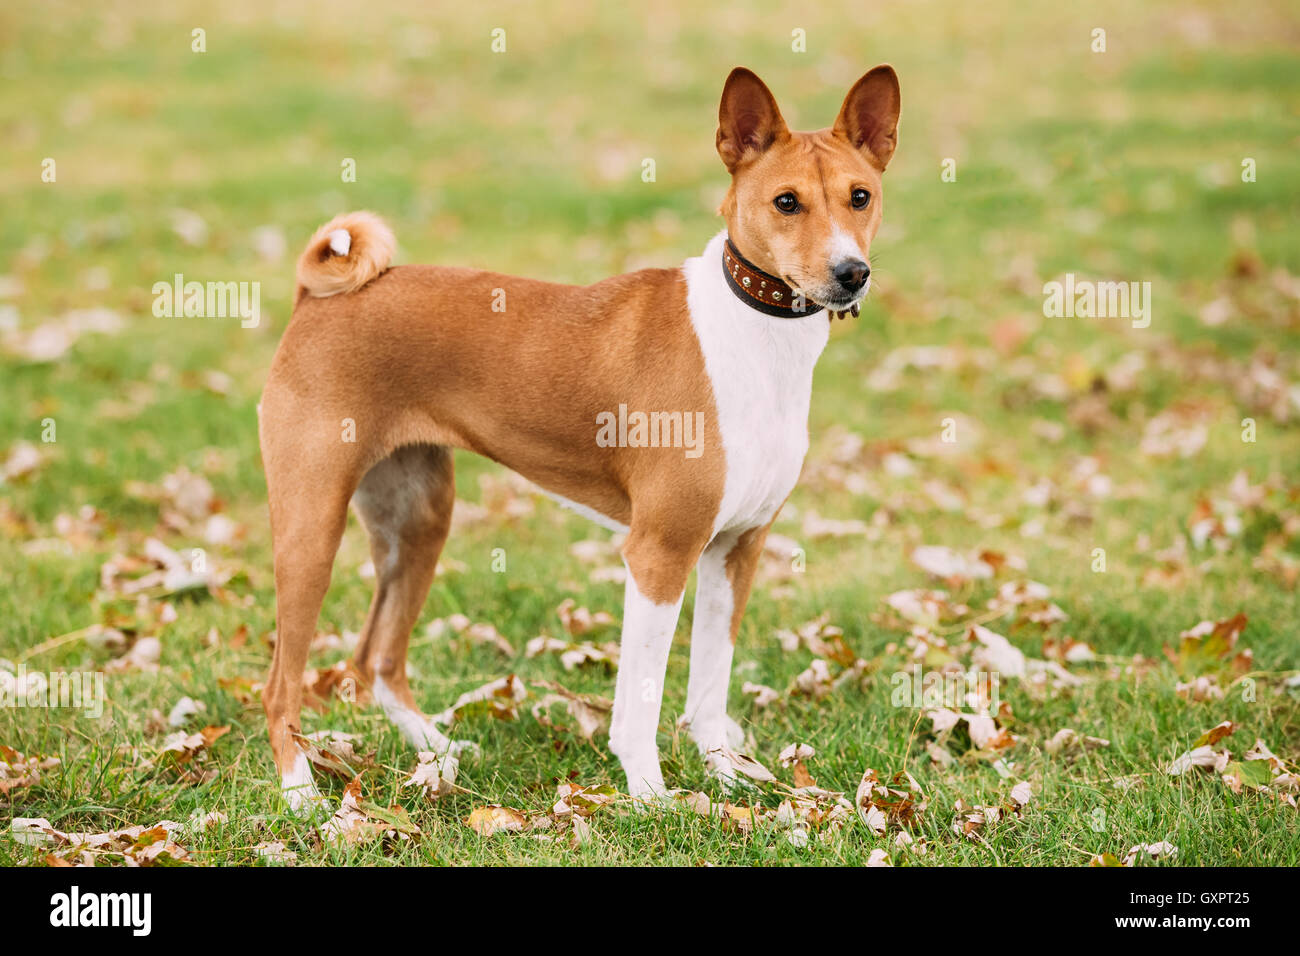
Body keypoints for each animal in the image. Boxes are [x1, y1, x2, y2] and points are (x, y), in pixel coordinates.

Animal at [258, 63, 899, 806]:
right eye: (786, 202)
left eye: (860, 197)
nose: (851, 272)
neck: (755, 338)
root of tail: (317, 299)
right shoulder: (658, 553)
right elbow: (641, 699)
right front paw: (650, 793)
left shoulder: (736, 548)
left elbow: (711, 684)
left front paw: (726, 771)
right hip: (311, 531)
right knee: (280, 684)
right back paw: (301, 792)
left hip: (419, 520)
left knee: (377, 660)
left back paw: (437, 751)